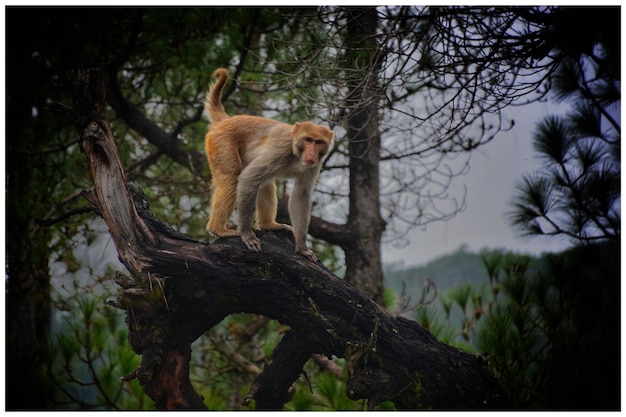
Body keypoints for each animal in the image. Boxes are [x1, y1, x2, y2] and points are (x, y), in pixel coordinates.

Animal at [204, 68, 332, 262]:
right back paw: (218, 229)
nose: (311, 154)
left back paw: (269, 225)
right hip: (221, 142)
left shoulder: (316, 164)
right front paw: (246, 234)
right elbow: (248, 179)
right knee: (233, 178)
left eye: (319, 142)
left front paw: (302, 246)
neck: (296, 152)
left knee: (265, 182)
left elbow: (301, 195)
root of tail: (225, 121)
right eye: (308, 140)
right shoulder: (281, 148)